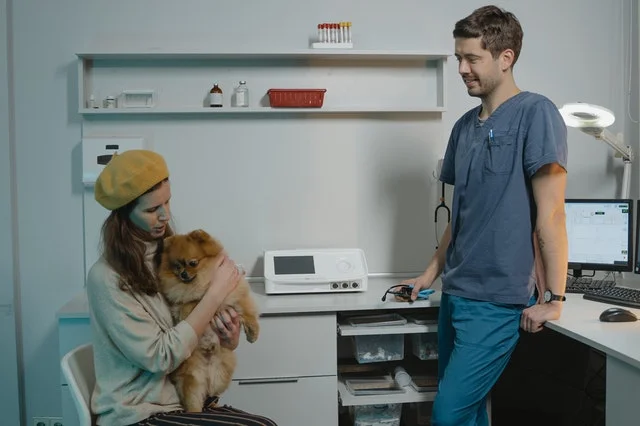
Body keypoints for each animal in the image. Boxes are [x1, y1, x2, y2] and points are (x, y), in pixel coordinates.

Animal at [158, 230, 260, 412]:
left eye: (192, 263)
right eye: (177, 266)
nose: (183, 274)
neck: (204, 282)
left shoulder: (234, 295)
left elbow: (247, 311)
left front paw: (253, 333)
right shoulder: (181, 301)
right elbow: (189, 303)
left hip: (221, 373)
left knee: (212, 393)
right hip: (192, 378)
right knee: (194, 401)